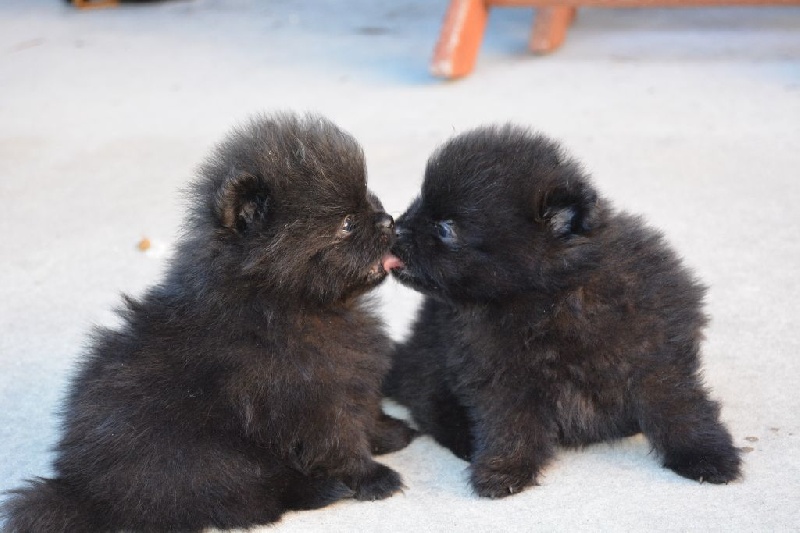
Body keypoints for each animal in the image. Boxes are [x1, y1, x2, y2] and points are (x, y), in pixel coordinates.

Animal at [0, 110, 412, 528]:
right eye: (347, 222)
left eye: (369, 198)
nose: (388, 220)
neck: (286, 304)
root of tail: (85, 493)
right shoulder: (307, 398)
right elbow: (340, 439)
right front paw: (372, 477)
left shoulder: (347, 379)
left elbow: (365, 409)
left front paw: (390, 432)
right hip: (210, 458)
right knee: (248, 499)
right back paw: (321, 489)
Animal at [384, 125, 740, 498]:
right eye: (420, 203)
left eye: (444, 227)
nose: (395, 227)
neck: (549, 299)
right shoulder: (500, 374)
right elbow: (510, 423)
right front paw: (503, 468)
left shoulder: (656, 354)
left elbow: (680, 407)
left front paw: (707, 455)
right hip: (430, 362)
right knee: (428, 403)